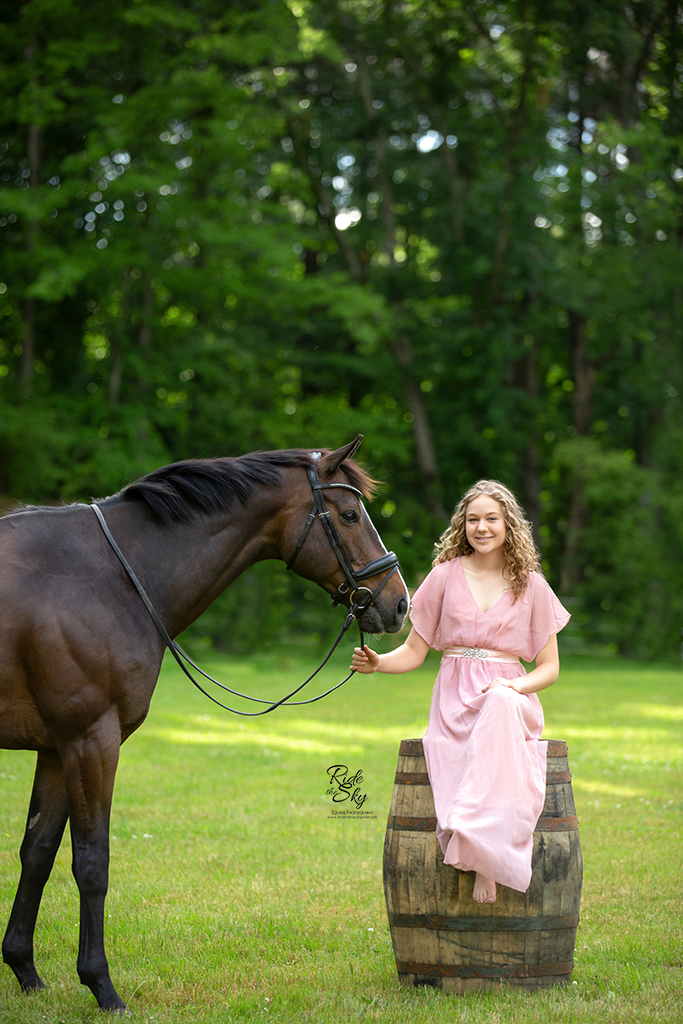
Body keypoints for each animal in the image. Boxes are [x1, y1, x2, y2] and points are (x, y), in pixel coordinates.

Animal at [0, 432, 409, 1007]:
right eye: (349, 514)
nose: (399, 603)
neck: (109, 578)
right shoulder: (91, 741)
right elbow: (92, 863)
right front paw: (101, 984)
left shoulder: (57, 749)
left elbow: (36, 853)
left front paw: (25, 970)